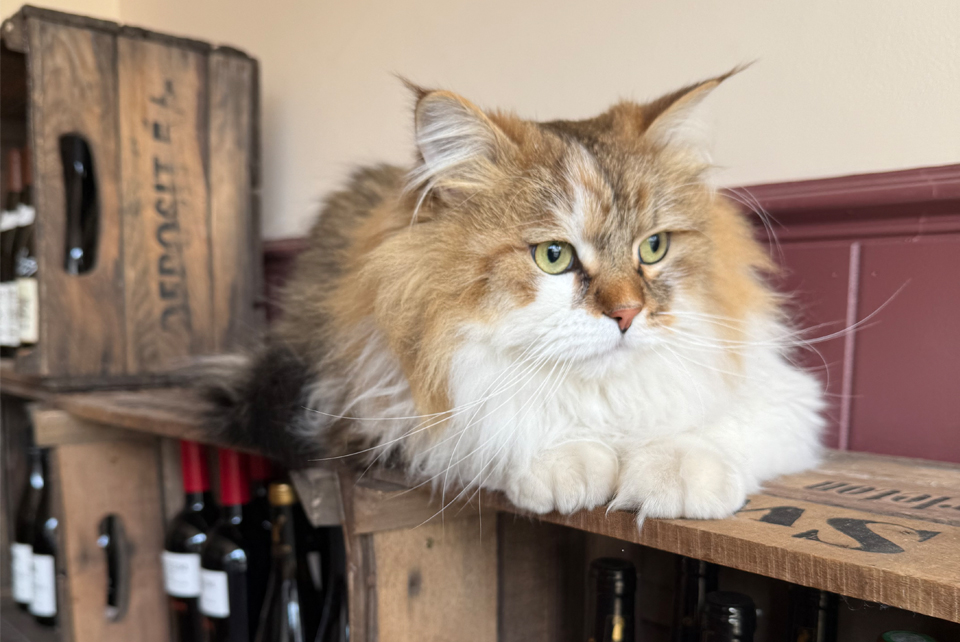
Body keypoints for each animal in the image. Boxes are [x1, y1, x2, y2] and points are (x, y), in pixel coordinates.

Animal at [207, 70, 825, 522]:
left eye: (653, 247)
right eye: (553, 256)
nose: (628, 313)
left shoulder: (785, 399)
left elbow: (717, 427)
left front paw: (672, 472)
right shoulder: (385, 408)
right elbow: (504, 427)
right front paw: (571, 462)